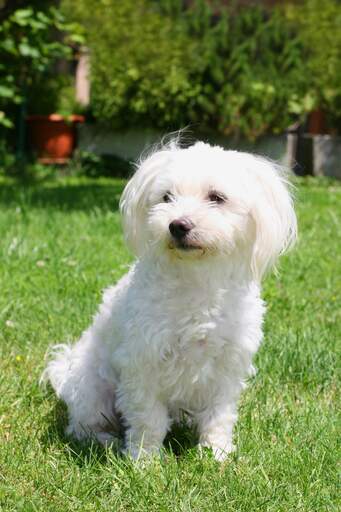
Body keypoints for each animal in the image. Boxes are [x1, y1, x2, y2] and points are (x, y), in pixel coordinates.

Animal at [44, 139, 294, 460]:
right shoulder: (143, 363)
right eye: (166, 197)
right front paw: (144, 460)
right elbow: (147, 419)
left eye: (217, 197)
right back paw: (105, 440)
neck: (196, 279)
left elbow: (220, 415)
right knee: (82, 426)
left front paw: (216, 453)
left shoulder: (227, 366)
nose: (178, 225)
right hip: (93, 389)